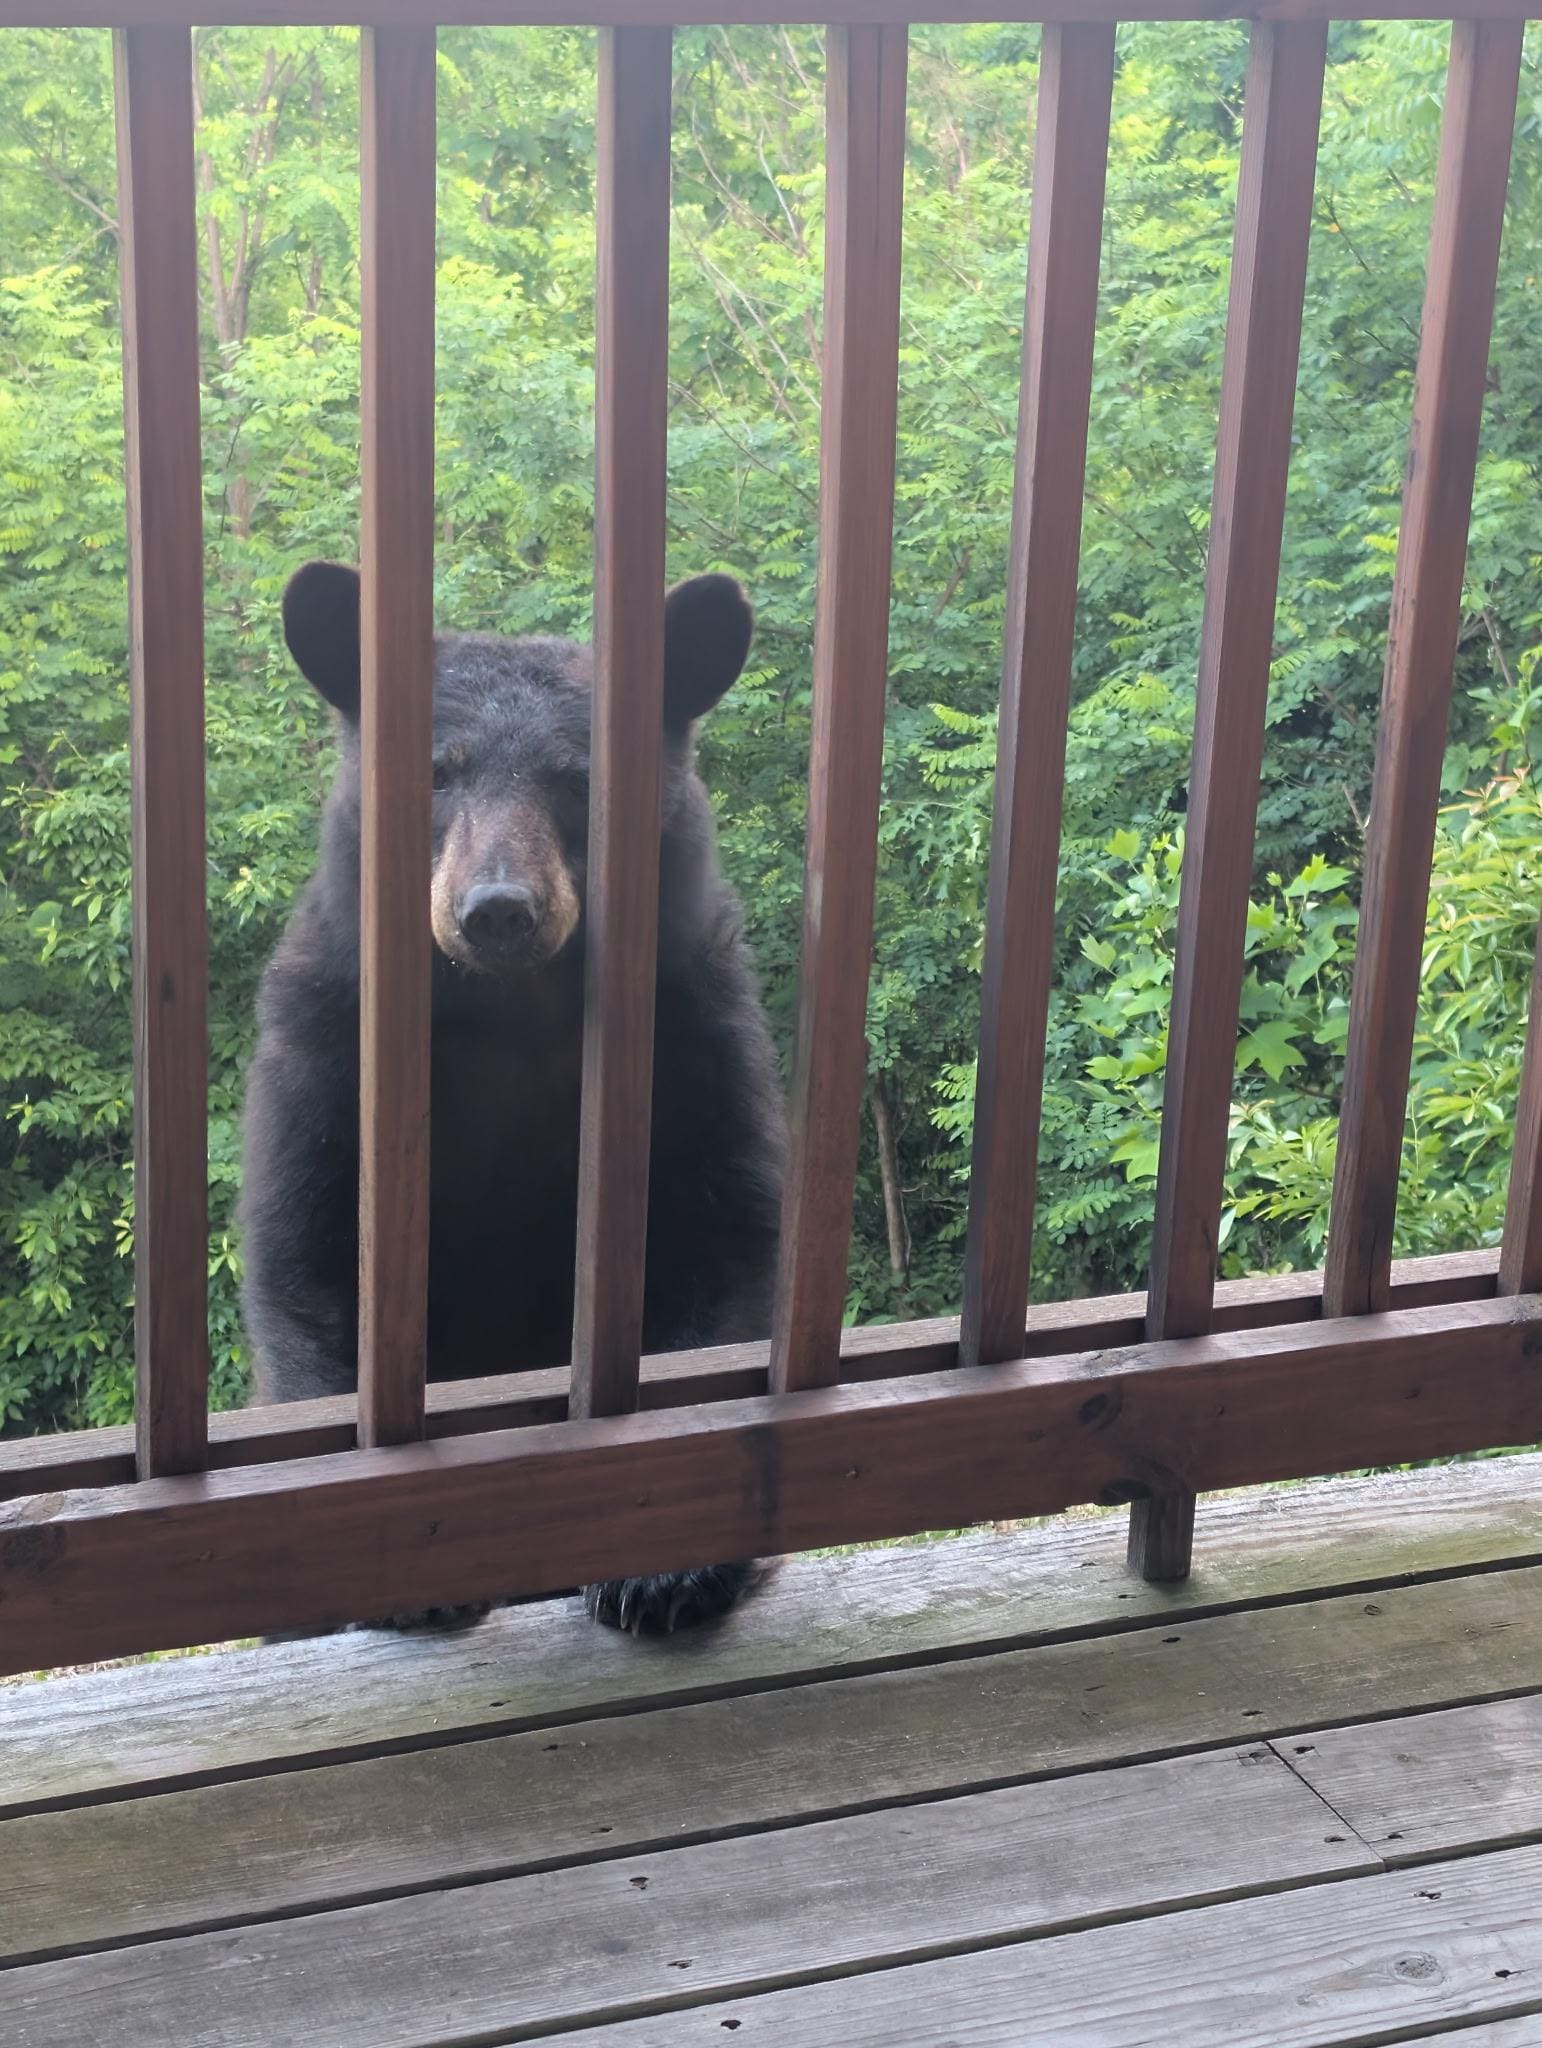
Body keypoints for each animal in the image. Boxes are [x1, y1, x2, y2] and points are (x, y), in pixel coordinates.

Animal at [237, 561, 787, 1635]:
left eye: (578, 780)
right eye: (437, 771)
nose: (497, 909)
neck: (512, 1015)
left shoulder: (695, 1040)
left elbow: (721, 1249)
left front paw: (667, 1570)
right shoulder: (326, 1052)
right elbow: (310, 1262)